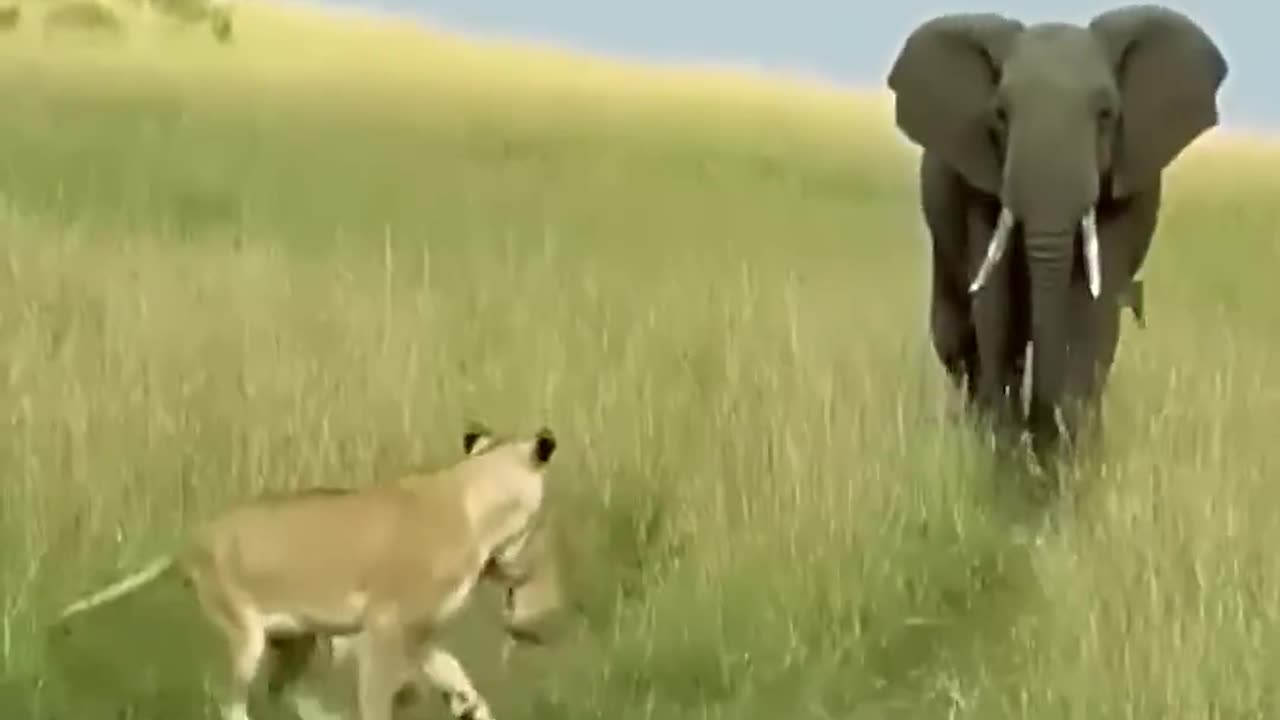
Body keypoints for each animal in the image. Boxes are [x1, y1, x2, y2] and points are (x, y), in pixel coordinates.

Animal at [885, 4, 1227, 463]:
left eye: (1106, 115)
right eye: (1000, 115)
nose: (1038, 430)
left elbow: (1091, 313)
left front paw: (1068, 461)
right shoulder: (981, 184)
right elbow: (996, 313)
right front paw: (1007, 458)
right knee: (956, 340)